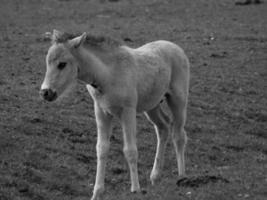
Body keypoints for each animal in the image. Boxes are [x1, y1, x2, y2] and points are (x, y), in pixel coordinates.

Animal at [40, 30, 191, 200]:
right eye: (47, 63)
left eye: (62, 64)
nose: (45, 92)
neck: (108, 74)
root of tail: (175, 47)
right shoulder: (101, 111)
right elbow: (102, 149)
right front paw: (97, 193)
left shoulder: (128, 111)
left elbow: (130, 150)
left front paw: (135, 189)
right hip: (152, 105)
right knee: (163, 127)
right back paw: (155, 176)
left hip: (178, 100)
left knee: (179, 135)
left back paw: (182, 177)